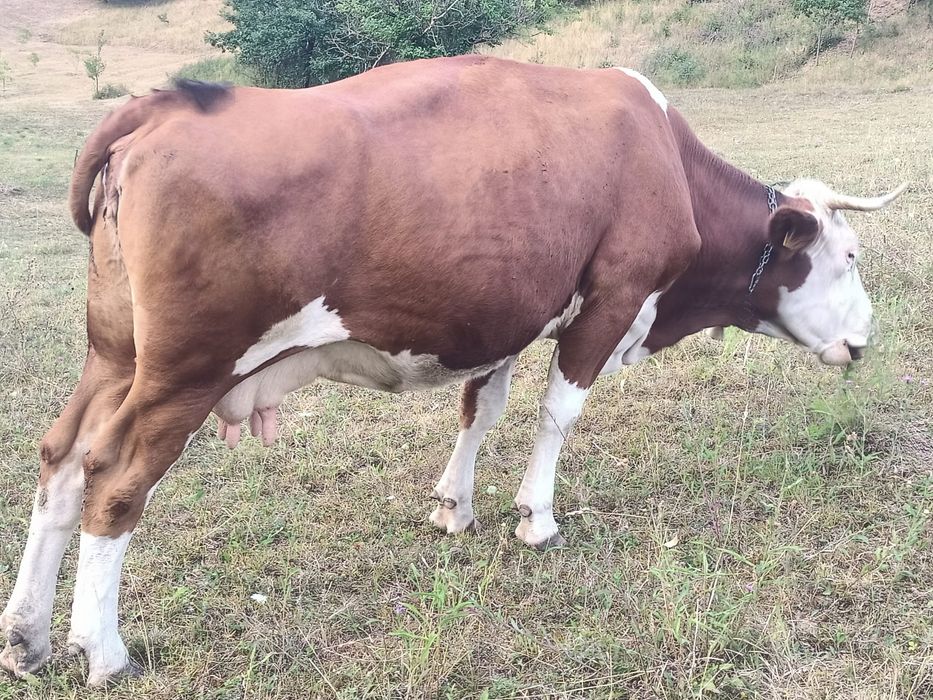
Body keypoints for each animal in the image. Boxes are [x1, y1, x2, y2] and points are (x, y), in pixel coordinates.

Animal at [0, 56, 905, 686]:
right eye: (849, 256)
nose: (866, 338)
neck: (667, 163)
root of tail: (164, 102)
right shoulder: (611, 298)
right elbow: (556, 413)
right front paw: (535, 516)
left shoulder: (505, 313)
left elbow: (482, 405)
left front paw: (453, 504)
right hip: (187, 370)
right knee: (114, 479)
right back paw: (102, 648)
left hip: (115, 355)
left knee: (61, 459)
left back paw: (28, 634)